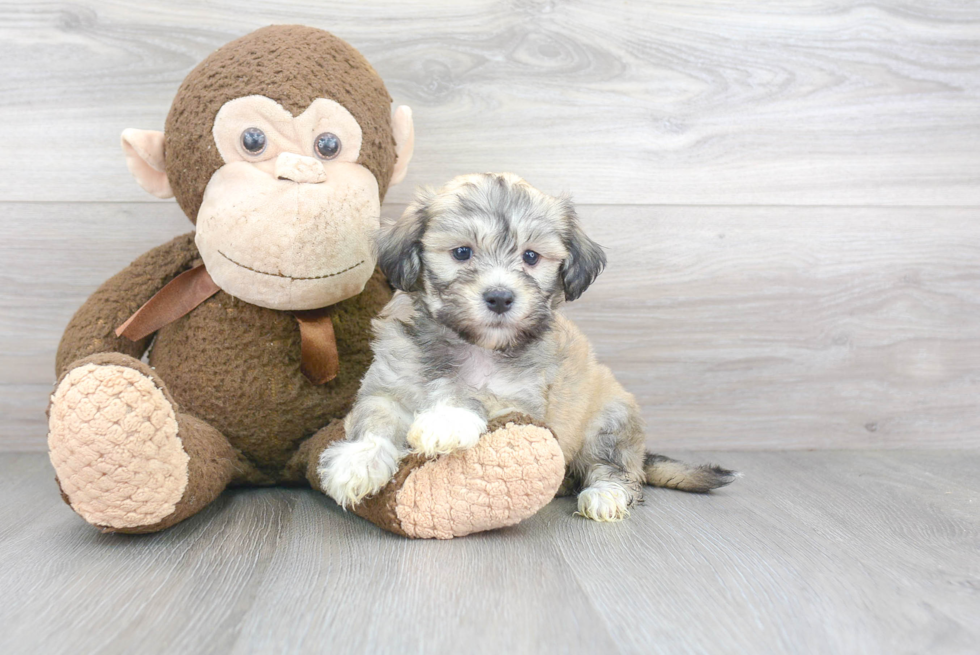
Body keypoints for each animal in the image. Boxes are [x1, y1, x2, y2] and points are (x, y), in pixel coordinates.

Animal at [322, 172, 736, 520]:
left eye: (531, 257)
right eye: (462, 253)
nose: (500, 297)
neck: (473, 345)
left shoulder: (520, 401)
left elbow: (480, 398)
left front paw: (447, 419)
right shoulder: (388, 386)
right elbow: (376, 419)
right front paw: (357, 462)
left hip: (608, 422)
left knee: (614, 469)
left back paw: (605, 495)